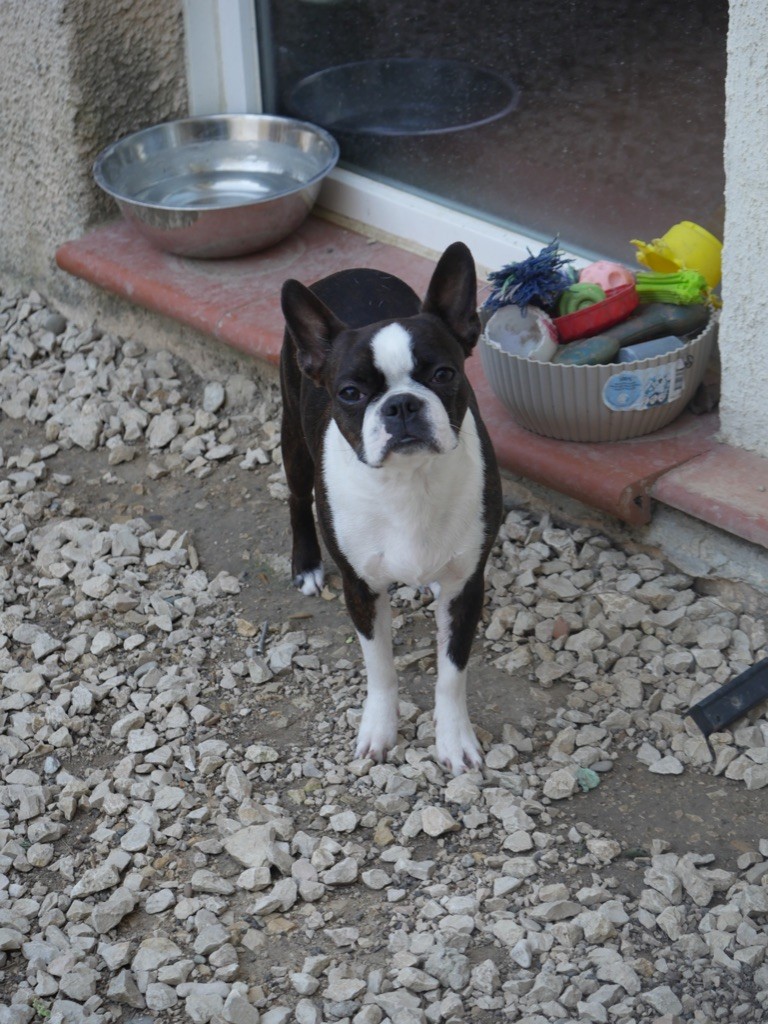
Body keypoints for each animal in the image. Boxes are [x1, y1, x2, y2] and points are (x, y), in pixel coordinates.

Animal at [280, 243, 501, 770]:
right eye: (350, 393)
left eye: (444, 374)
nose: (401, 404)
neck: (409, 482)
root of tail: (350, 269)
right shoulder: (360, 589)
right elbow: (379, 667)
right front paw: (379, 729)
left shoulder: (467, 587)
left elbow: (452, 673)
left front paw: (454, 740)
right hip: (293, 439)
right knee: (296, 497)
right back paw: (306, 563)